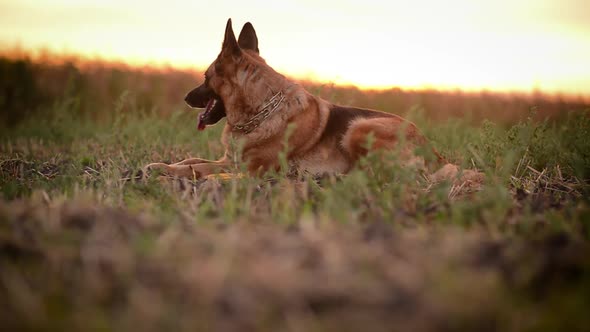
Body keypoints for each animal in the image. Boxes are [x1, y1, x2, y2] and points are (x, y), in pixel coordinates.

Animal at [147, 18, 480, 184]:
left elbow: (199, 168)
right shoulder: (230, 158)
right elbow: (192, 160)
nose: (186, 97)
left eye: (205, 78)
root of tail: (434, 153)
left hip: (359, 128)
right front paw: (160, 165)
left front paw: (176, 173)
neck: (262, 109)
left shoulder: (253, 168)